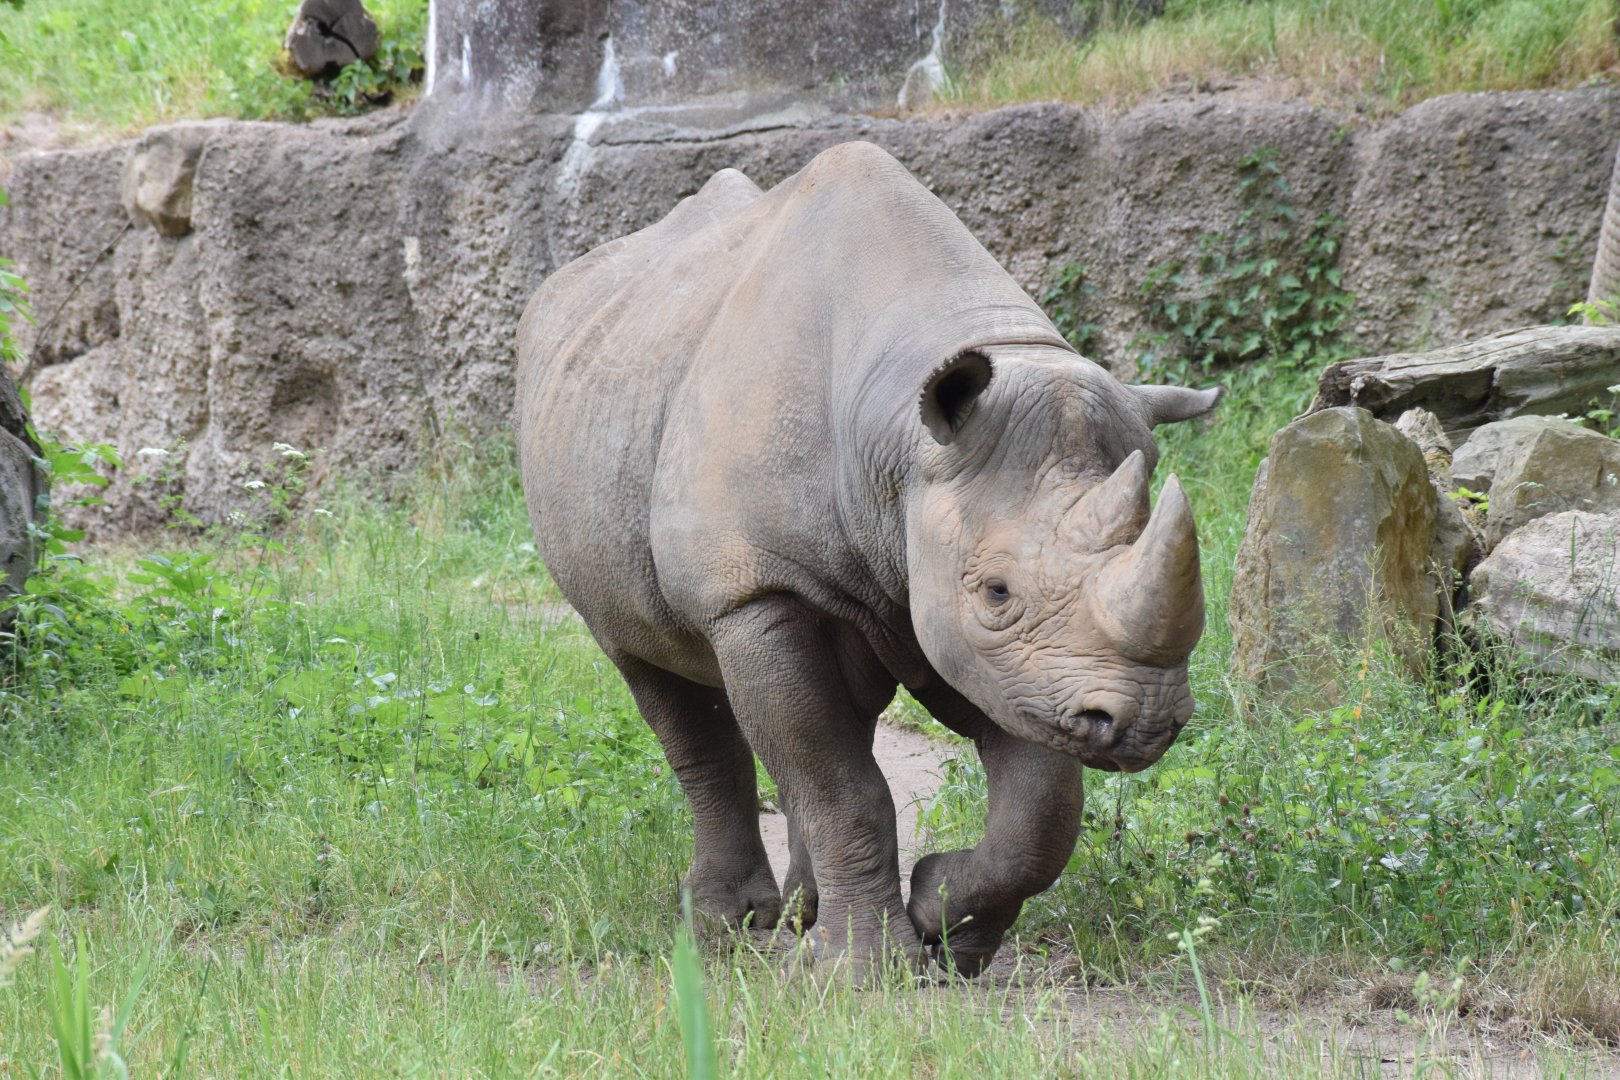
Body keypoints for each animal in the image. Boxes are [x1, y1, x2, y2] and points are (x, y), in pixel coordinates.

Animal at [515, 141, 1218, 975]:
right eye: (996, 591)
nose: (1144, 724)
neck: (899, 442)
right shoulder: (755, 590)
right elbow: (840, 783)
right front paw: (864, 971)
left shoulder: (1001, 643)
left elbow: (1042, 803)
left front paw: (948, 926)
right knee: (659, 677)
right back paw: (729, 925)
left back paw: (803, 916)